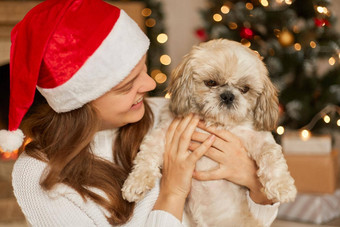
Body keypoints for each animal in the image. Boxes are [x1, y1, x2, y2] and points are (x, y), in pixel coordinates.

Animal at [121, 39, 294, 227]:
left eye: (244, 89)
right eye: (211, 82)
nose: (228, 96)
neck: (215, 122)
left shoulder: (257, 138)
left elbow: (271, 155)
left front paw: (283, 187)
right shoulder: (164, 132)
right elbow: (146, 154)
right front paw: (136, 182)